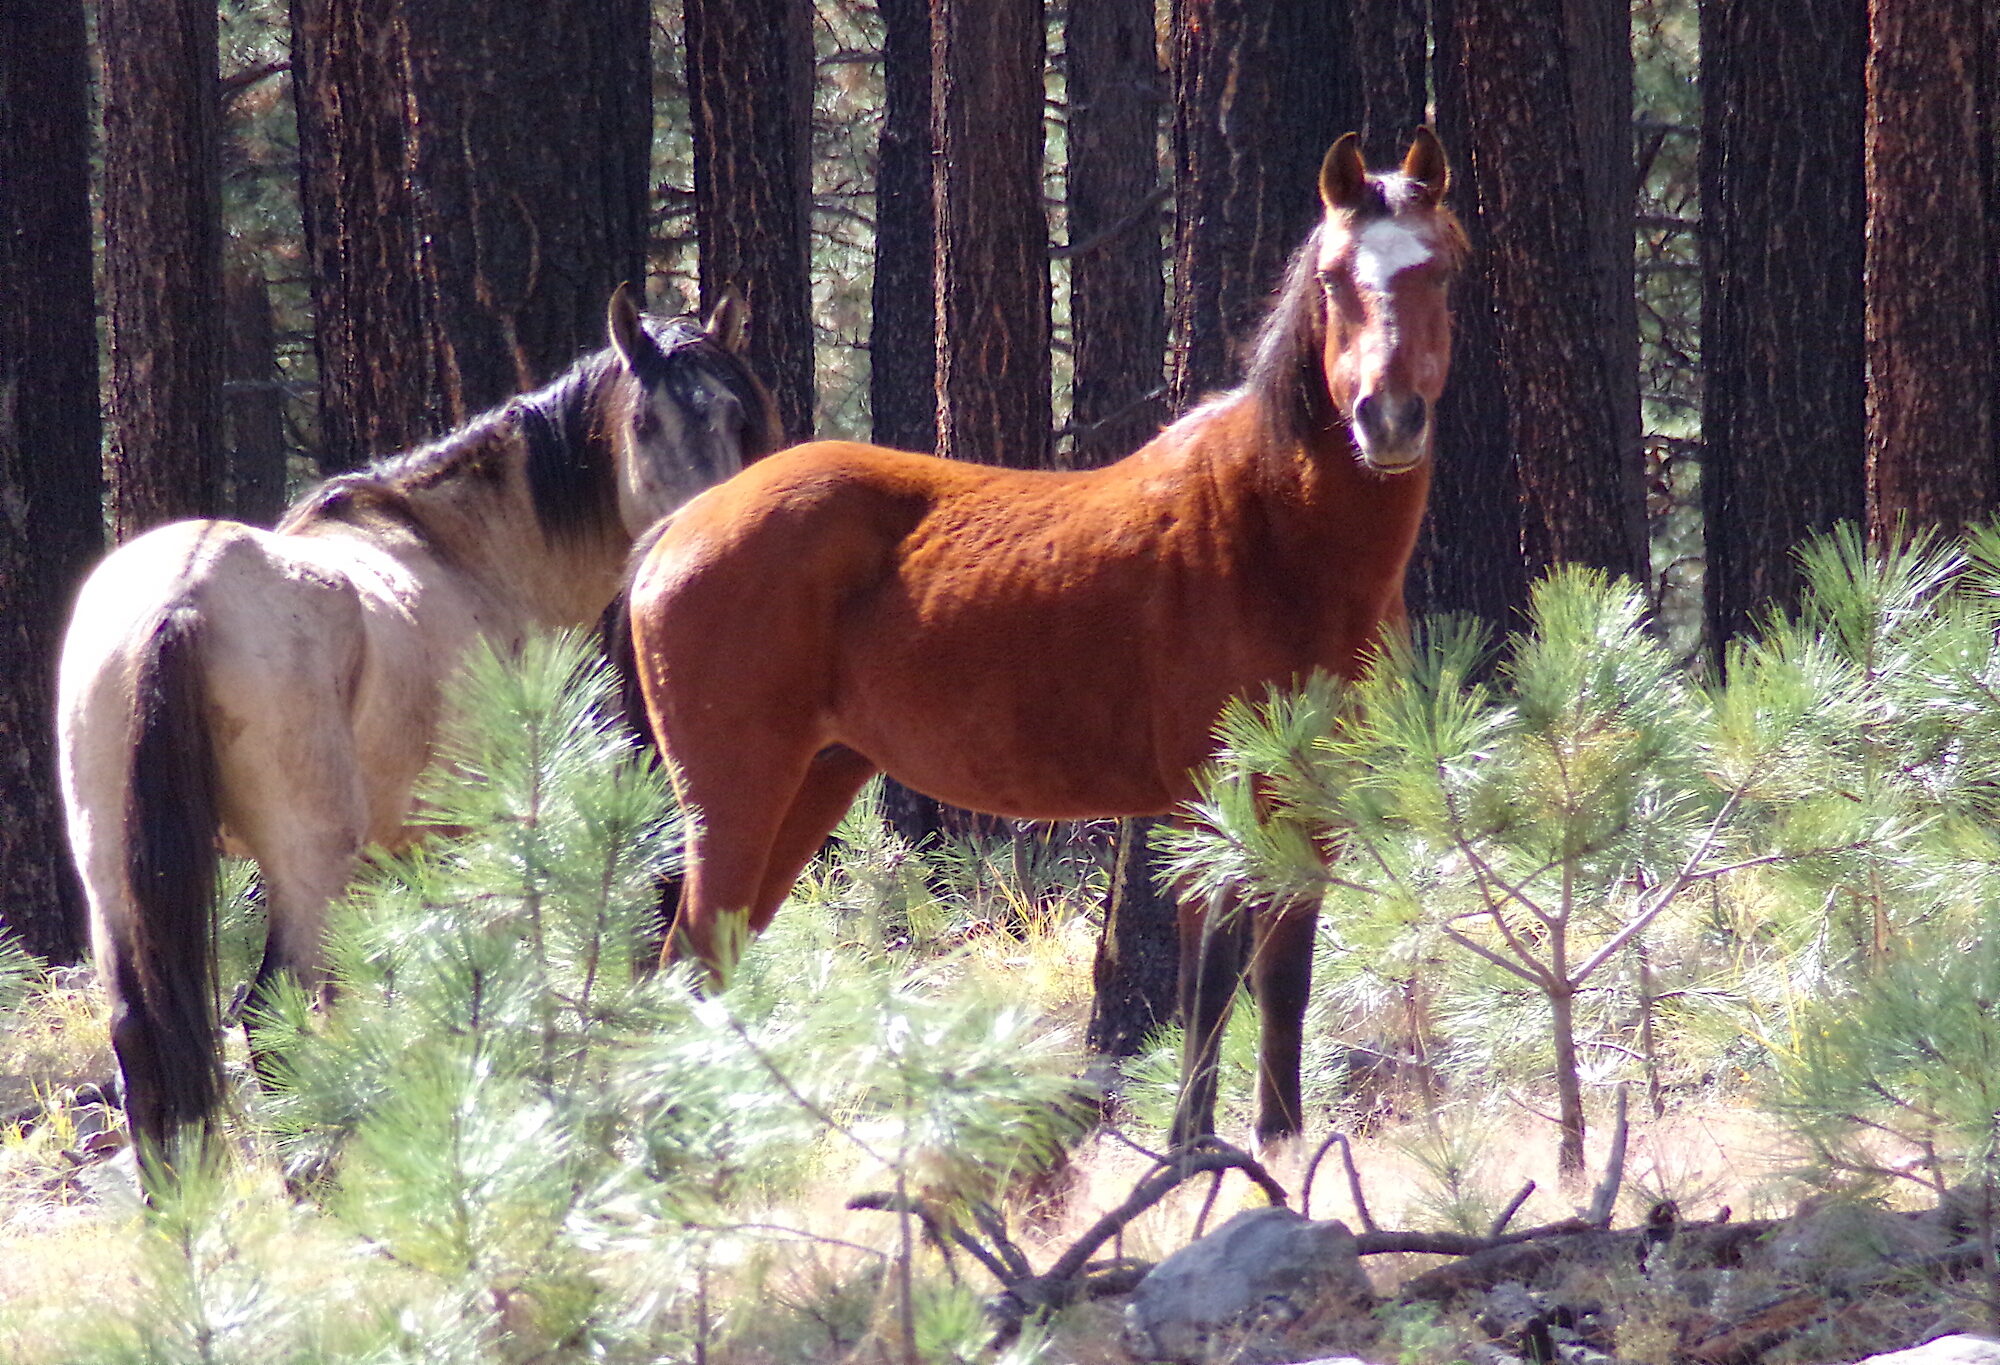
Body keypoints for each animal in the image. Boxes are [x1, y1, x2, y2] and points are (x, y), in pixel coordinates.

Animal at [57, 287, 780, 1164]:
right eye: (644, 422)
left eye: (738, 414)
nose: (714, 531)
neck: (464, 552)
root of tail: (181, 597)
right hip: (305, 866)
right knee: (269, 1013)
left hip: (114, 878)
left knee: (142, 1031)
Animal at [625, 130, 1465, 1147]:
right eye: (1337, 277)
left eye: (1442, 269)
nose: (1389, 418)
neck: (1272, 537)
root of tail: (686, 522)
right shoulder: (1209, 802)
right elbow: (1212, 984)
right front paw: (1193, 1154)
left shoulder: (1309, 807)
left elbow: (1281, 987)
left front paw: (1278, 1144)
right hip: (737, 797)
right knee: (686, 966)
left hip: (811, 783)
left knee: (711, 964)